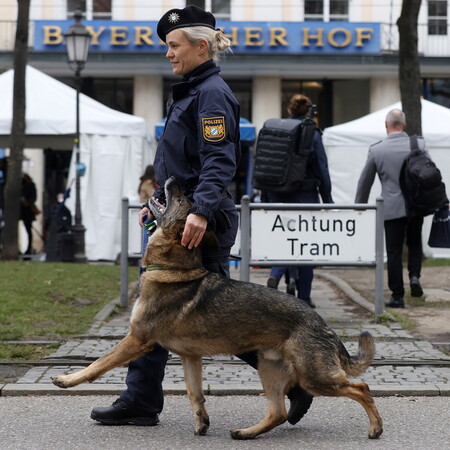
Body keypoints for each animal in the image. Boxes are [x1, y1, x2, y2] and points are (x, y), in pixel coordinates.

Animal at [52, 176, 384, 440]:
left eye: (181, 199)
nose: (173, 178)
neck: (173, 268)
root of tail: (325, 327)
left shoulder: (138, 340)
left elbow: (100, 363)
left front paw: (68, 379)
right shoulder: (190, 357)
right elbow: (195, 393)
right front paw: (201, 423)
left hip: (313, 375)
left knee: (362, 387)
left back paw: (375, 428)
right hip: (270, 367)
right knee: (278, 412)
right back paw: (247, 432)